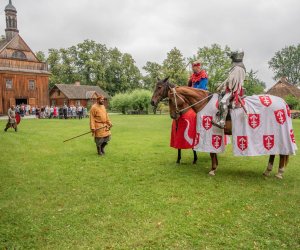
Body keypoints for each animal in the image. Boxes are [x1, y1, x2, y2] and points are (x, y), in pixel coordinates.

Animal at [151, 77, 292, 178]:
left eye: (159, 87)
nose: (152, 102)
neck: (203, 102)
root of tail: (284, 103)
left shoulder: (209, 133)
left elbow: (212, 152)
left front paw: (213, 169)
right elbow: (213, 152)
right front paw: (215, 167)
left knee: (281, 153)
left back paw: (279, 172)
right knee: (274, 152)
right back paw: (268, 171)